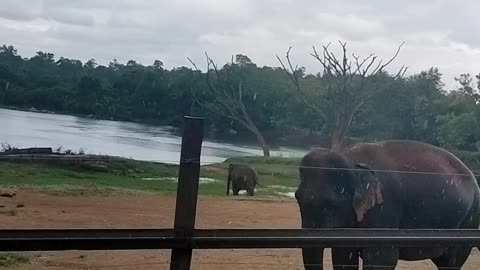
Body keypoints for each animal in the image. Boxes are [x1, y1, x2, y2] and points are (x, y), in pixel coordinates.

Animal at [296, 140, 480, 268]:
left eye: (331, 206)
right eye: (297, 198)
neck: (352, 161)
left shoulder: (385, 207)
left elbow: (381, 257)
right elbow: (344, 254)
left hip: (469, 220)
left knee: (452, 261)